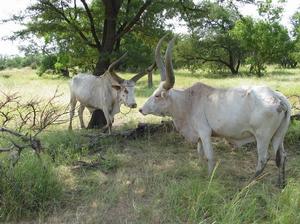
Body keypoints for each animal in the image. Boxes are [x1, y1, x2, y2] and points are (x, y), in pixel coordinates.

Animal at [140, 36, 290, 187]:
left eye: (157, 95)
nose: (141, 109)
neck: (188, 102)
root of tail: (278, 97)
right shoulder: (199, 136)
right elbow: (200, 153)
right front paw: (200, 170)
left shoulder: (205, 132)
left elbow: (210, 156)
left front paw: (209, 177)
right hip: (278, 135)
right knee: (281, 156)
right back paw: (281, 184)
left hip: (262, 136)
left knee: (263, 158)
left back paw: (248, 183)